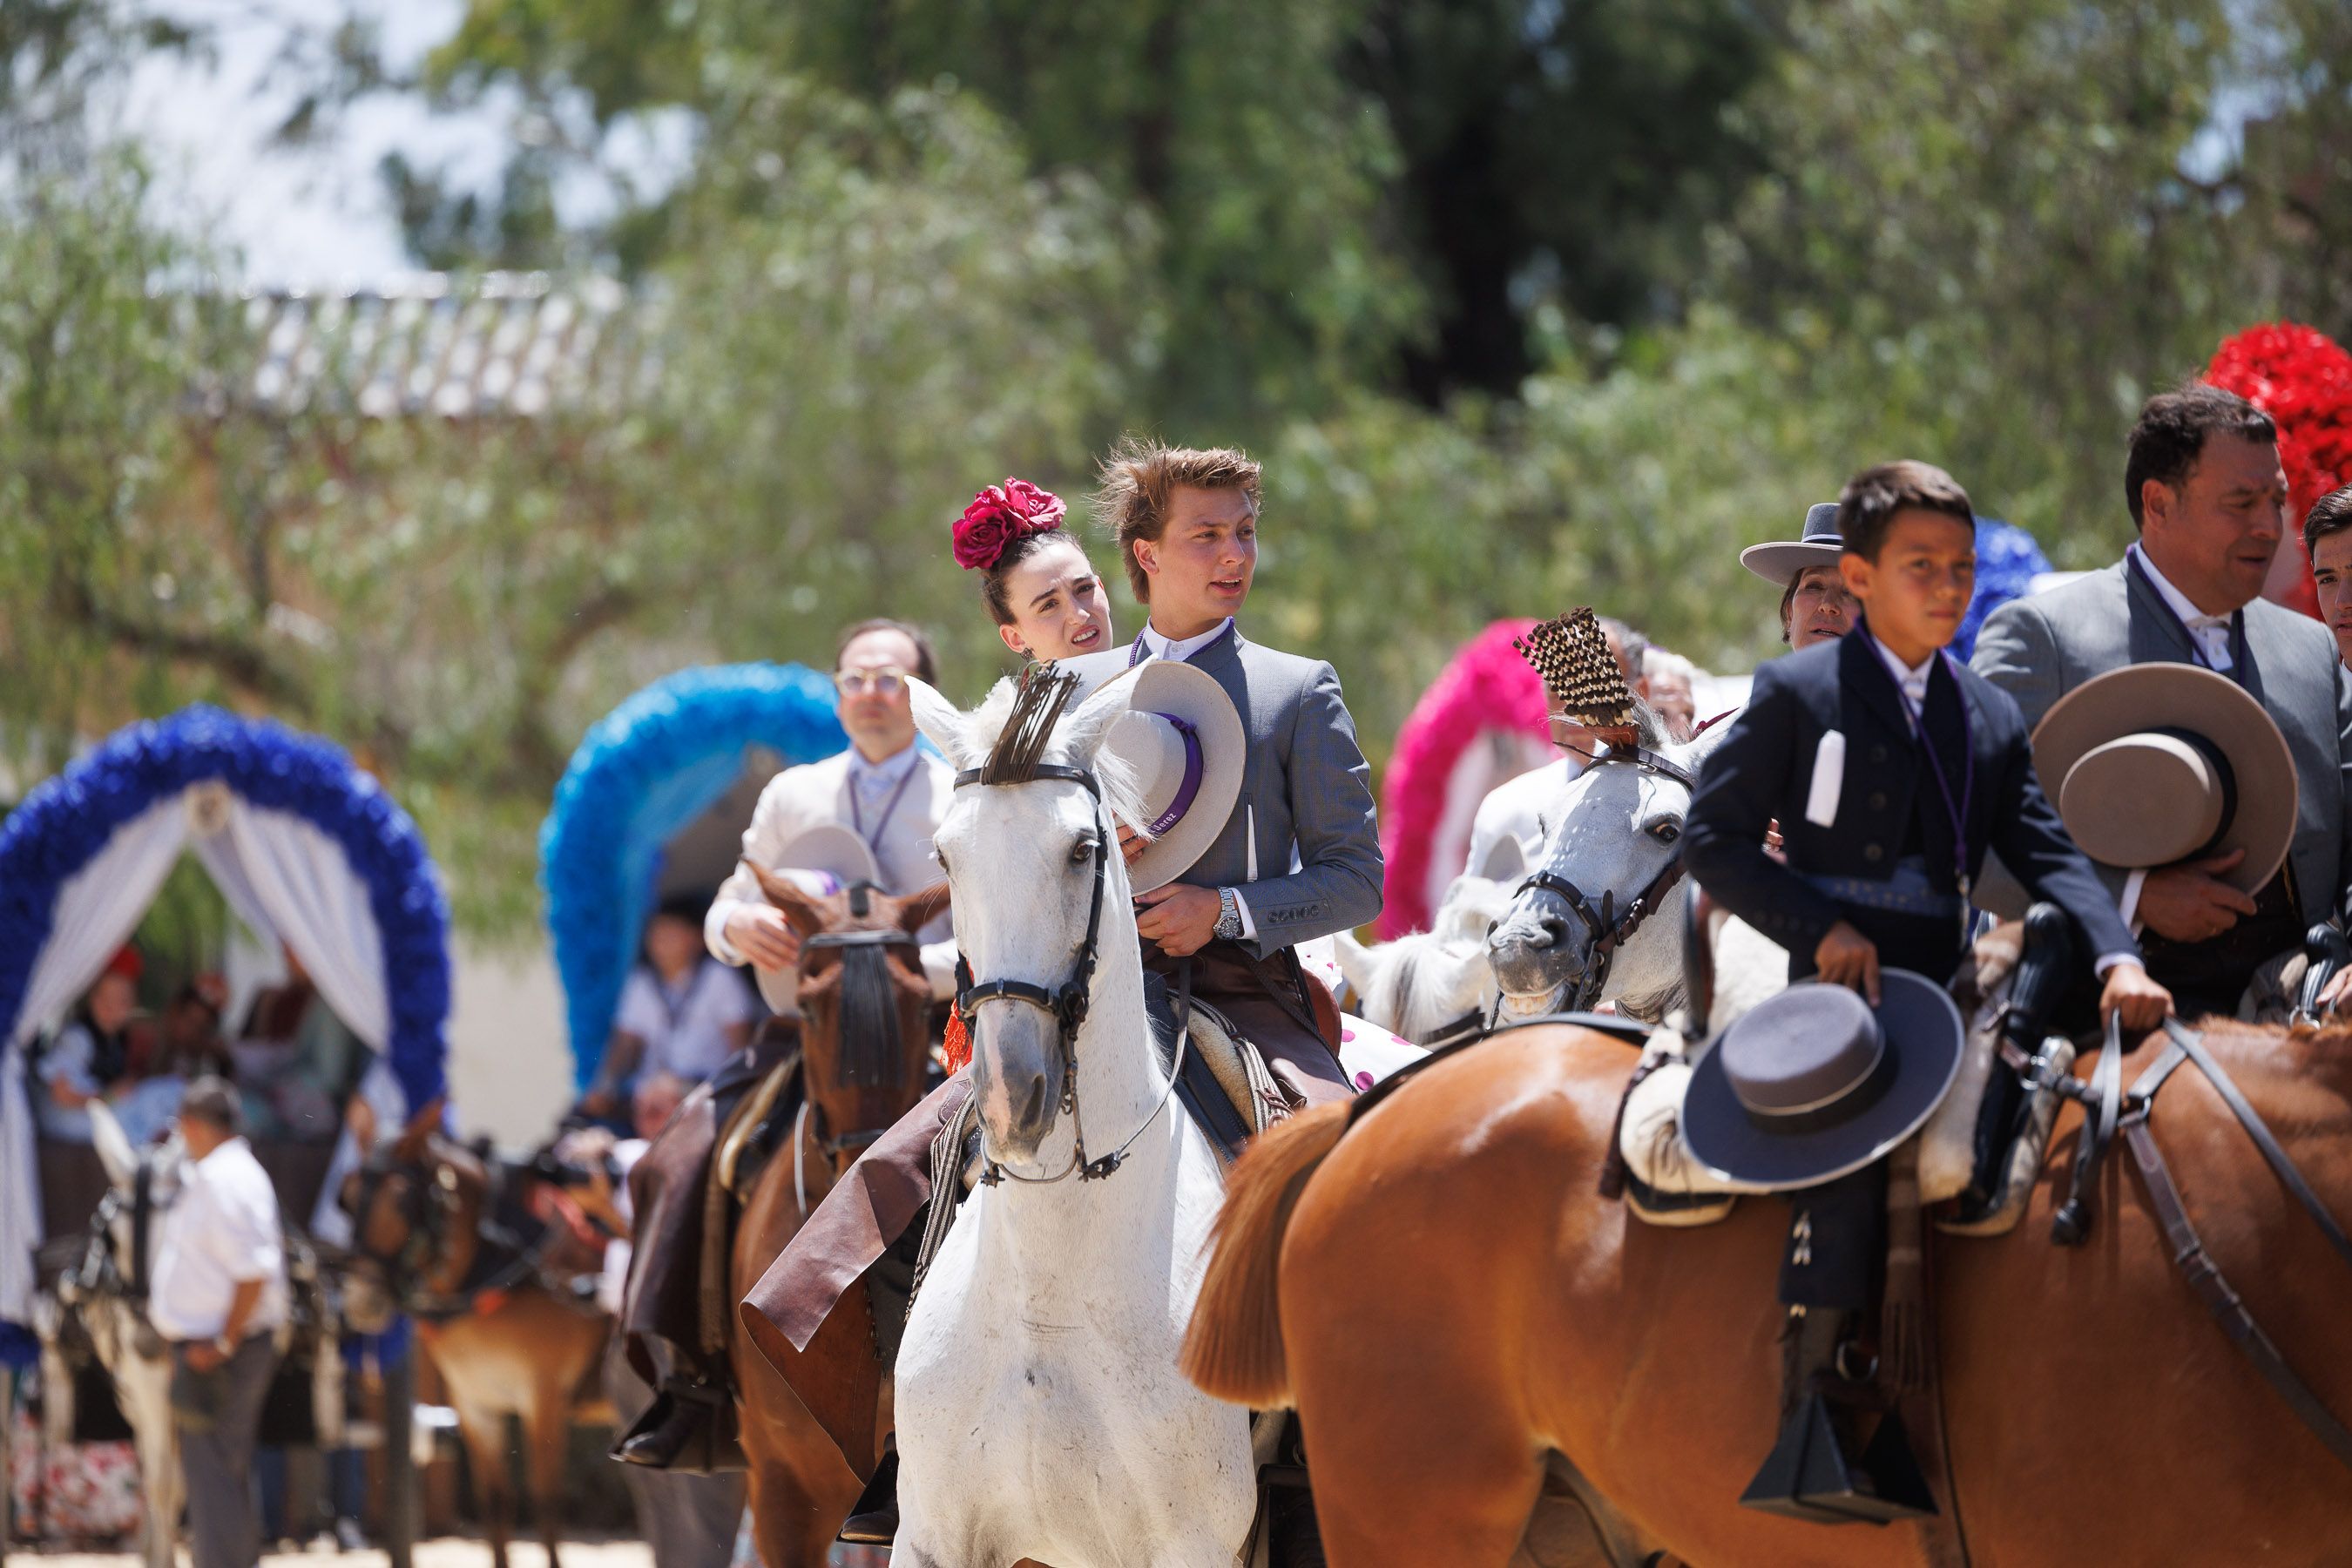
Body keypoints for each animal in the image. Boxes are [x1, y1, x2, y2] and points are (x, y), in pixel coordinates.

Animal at [340, 1112, 611, 1568]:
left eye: (401, 1202)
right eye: (346, 1197)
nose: (362, 1299)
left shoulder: (544, 1398)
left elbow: (546, 1505)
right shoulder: (474, 1403)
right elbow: (496, 1504)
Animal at [875, 669, 1258, 1567]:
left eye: (1082, 850)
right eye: (946, 856)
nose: (1012, 1094)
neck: (1049, 1292)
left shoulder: (1195, 1544)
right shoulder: (931, 1537)